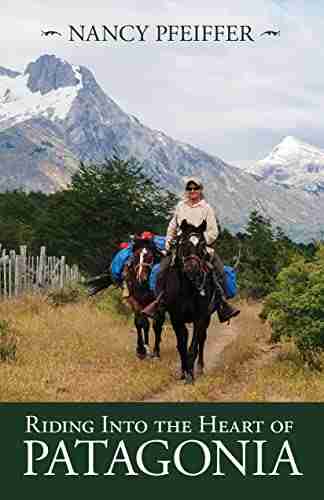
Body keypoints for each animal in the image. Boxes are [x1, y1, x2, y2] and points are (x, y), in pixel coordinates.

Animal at [162, 219, 220, 382]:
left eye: (202, 244)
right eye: (184, 243)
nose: (192, 268)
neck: (188, 287)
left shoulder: (199, 317)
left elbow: (193, 345)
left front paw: (191, 375)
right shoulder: (176, 318)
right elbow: (181, 344)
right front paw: (184, 372)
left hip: (207, 317)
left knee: (202, 339)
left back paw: (199, 368)